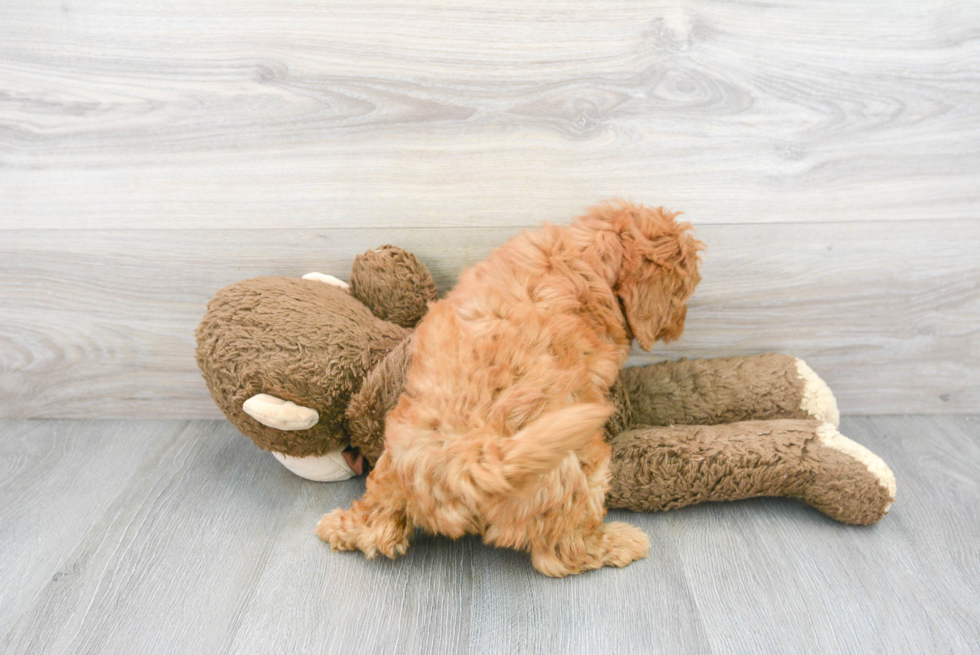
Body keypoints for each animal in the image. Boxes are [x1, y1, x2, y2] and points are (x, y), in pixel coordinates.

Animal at [322, 201, 704, 580]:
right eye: (681, 292)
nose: (681, 324)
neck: (585, 253)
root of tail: (469, 460)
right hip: (581, 470)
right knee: (560, 553)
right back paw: (622, 542)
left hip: (392, 466)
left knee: (377, 526)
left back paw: (338, 527)